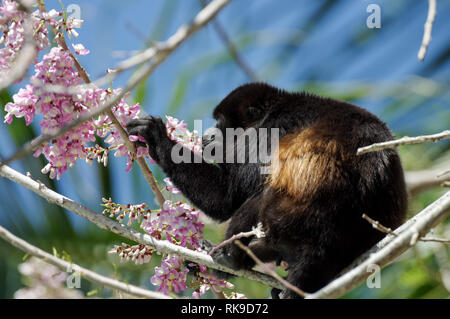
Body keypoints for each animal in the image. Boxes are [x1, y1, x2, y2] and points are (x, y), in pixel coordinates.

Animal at [126, 83, 408, 300]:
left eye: (220, 123)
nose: (206, 136)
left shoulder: (267, 132)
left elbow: (226, 198)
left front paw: (157, 138)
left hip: (290, 215)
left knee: (260, 197)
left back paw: (229, 258)